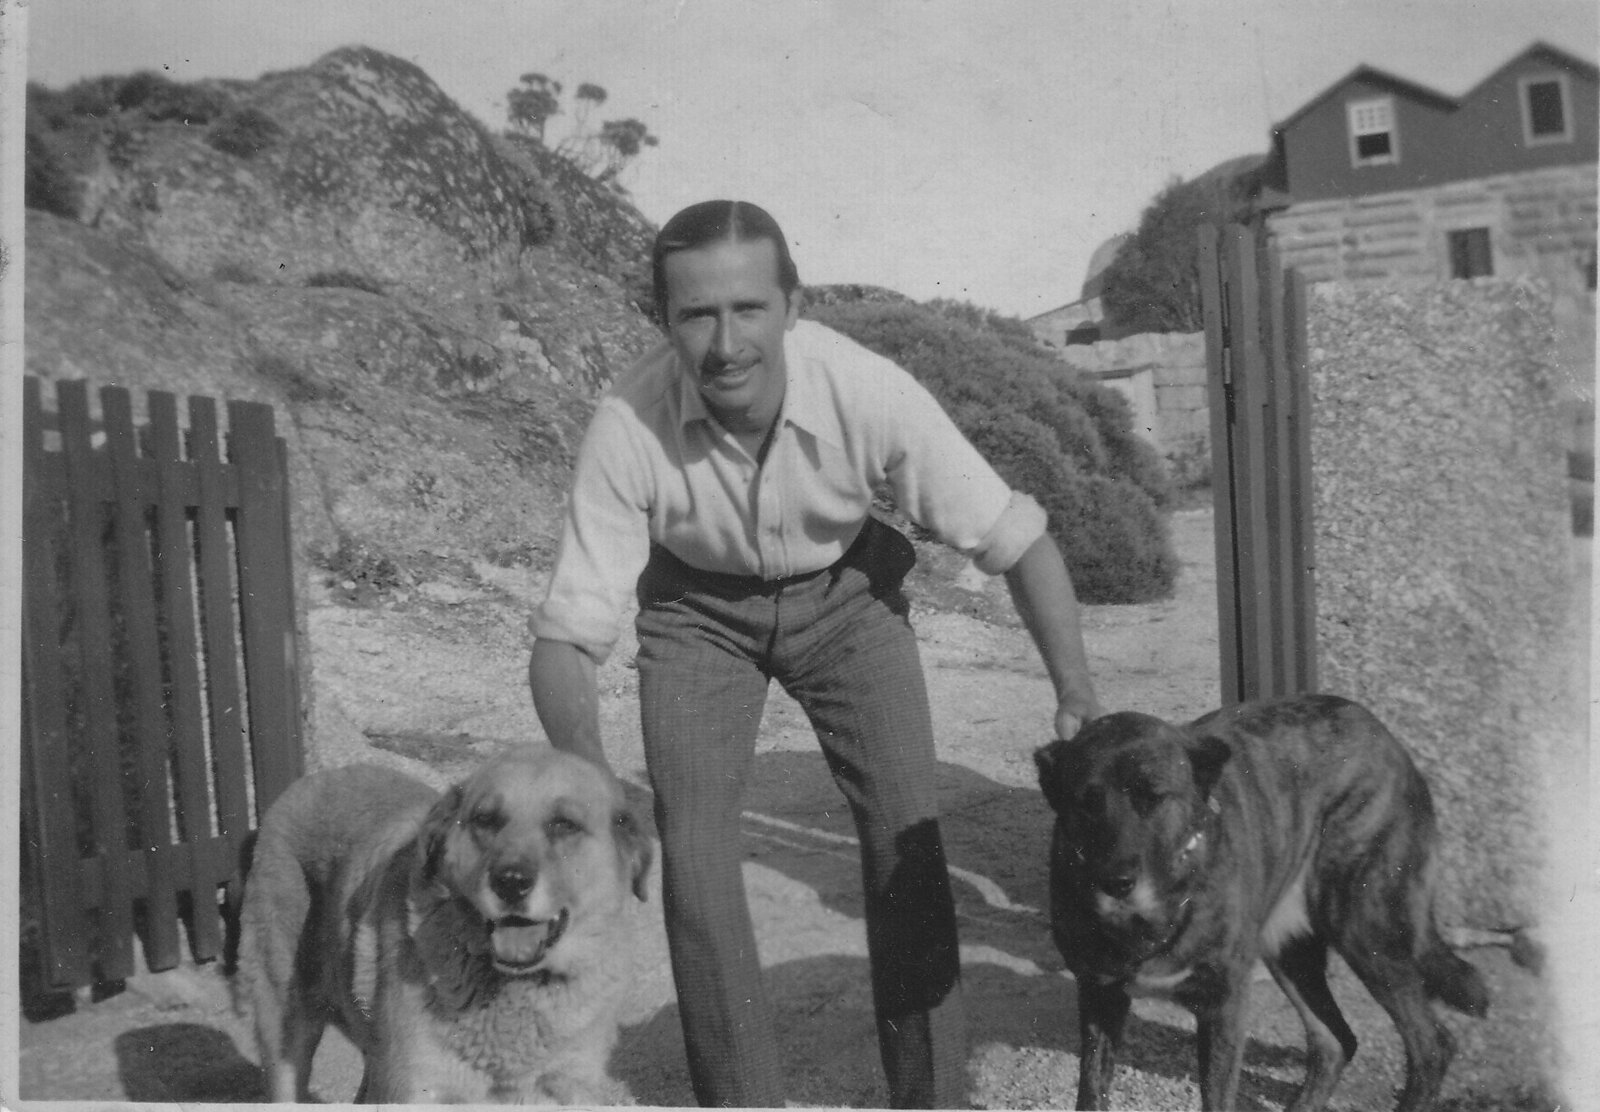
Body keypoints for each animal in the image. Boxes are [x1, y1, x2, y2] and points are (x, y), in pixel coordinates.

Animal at [236, 748, 649, 1107]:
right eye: (486, 819)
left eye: (564, 825)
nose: (510, 882)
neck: (510, 991)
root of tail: (308, 782)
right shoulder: (418, 1086)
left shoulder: (569, 1086)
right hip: (286, 1030)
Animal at [1036, 691, 1484, 1107]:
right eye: (1085, 804)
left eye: (1154, 798)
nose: (1116, 882)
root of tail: (1381, 732)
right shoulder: (1100, 998)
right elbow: (1091, 1092)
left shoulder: (1223, 1007)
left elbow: (1217, 1097)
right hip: (1289, 952)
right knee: (1336, 1041)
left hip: (1365, 931)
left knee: (1432, 1045)